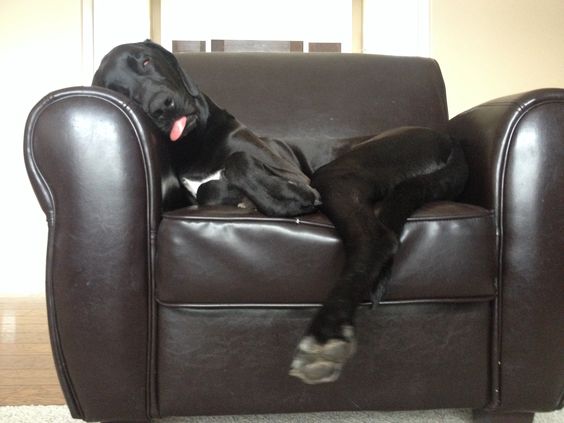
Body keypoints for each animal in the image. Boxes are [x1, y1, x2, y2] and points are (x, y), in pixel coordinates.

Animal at [94, 41, 470, 386]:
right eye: (119, 91)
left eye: (145, 61)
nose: (161, 106)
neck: (193, 143)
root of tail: (450, 142)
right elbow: (207, 189)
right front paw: (241, 197)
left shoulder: (296, 175)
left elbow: (237, 161)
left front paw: (282, 200)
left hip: (338, 172)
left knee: (375, 238)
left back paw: (327, 333)